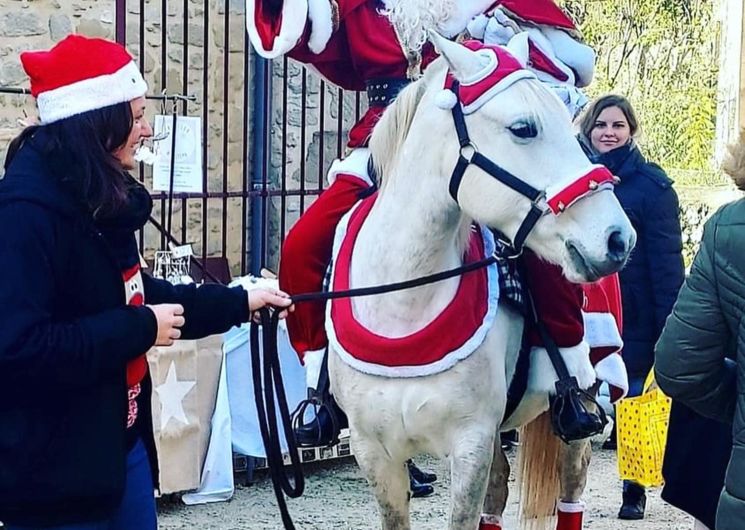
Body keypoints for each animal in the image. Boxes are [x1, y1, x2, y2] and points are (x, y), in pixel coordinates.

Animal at [326, 35, 632, 524]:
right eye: (523, 128)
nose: (618, 238)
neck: (403, 304)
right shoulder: (376, 453)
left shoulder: (470, 444)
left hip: (583, 402)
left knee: (572, 486)